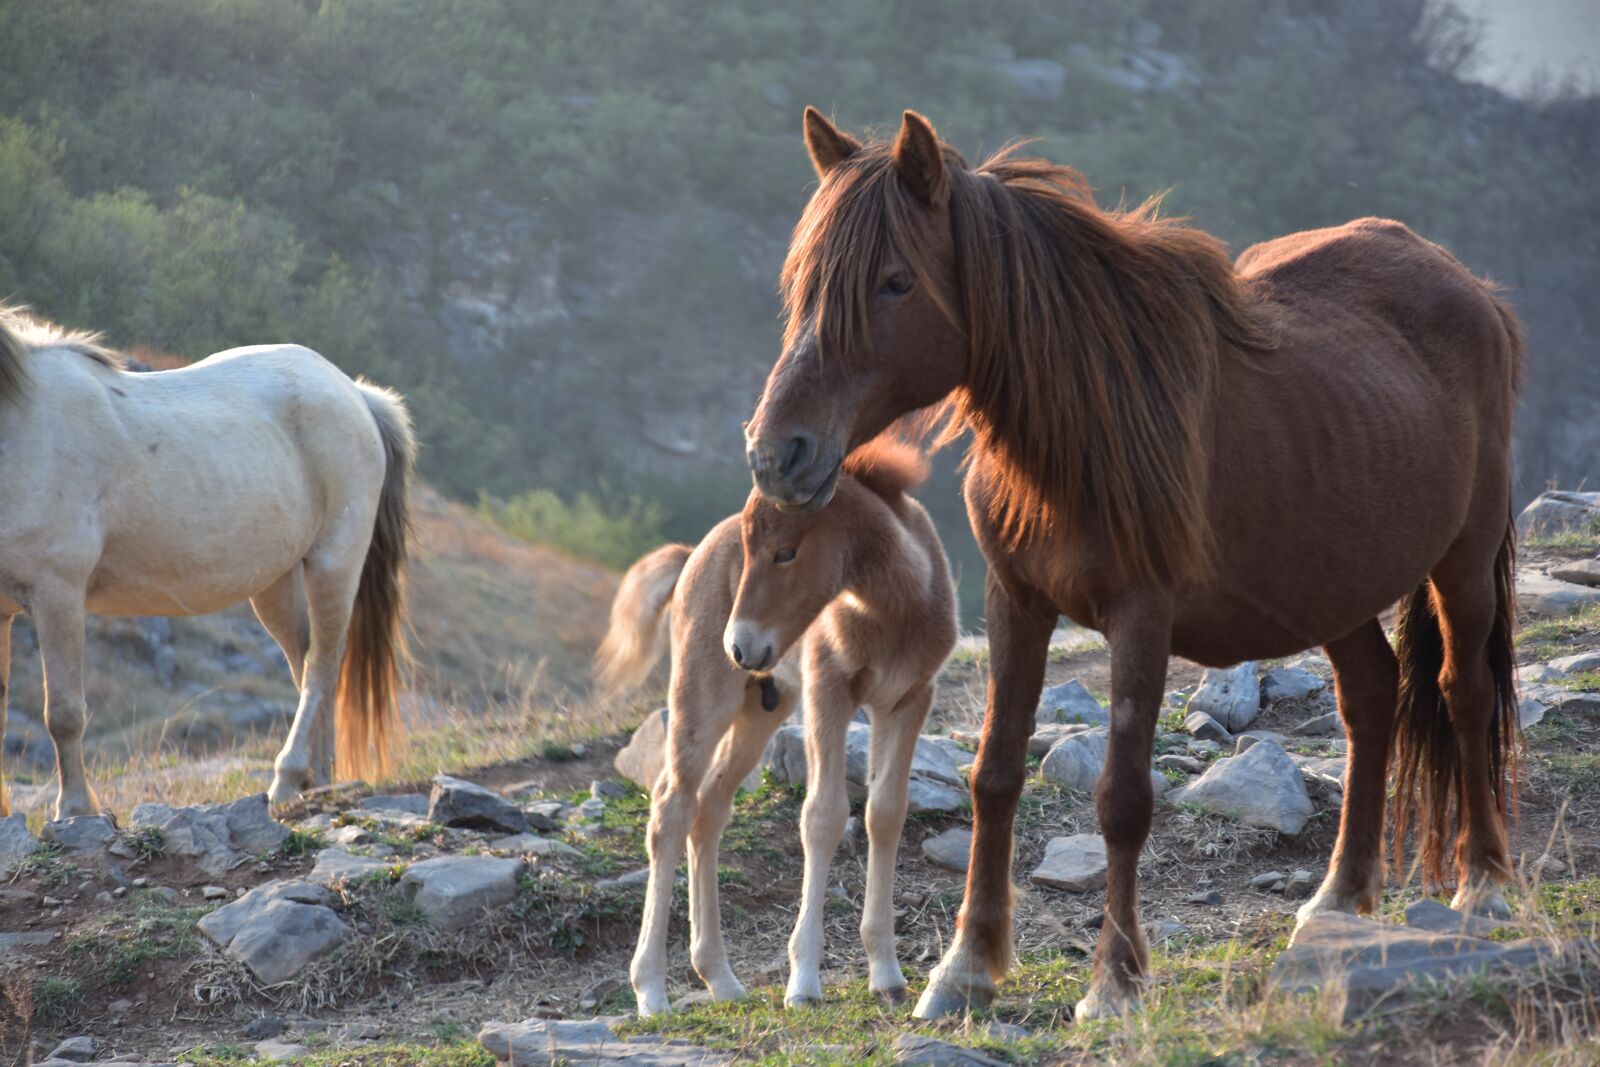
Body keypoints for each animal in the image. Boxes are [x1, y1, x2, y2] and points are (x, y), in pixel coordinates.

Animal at [0, 305, 414, 819]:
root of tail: (356, 393)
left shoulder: (58, 594)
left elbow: (63, 713)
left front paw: (75, 809)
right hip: (276, 584)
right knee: (306, 663)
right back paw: (319, 779)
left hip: (334, 562)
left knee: (321, 665)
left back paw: (287, 779)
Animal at [597, 435, 957, 1016]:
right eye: (749, 552)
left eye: (785, 551)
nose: (740, 645)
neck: (889, 609)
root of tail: (691, 554)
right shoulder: (827, 691)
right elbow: (823, 816)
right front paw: (804, 982)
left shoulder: (907, 700)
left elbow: (885, 813)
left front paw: (886, 974)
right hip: (705, 695)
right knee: (671, 807)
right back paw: (650, 989)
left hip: (762, 707)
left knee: (710, 809)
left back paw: (720, 979)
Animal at [743, 109, 1524, 1022]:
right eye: (801, 282)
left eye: (896, 282)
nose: (778, 453)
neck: (1080, 427)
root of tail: (1468, 285)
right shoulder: (1016, 602)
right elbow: (995, 774)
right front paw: (966, 966)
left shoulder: (1141, 616)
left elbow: (1121, 799)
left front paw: (1113, 980)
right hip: (1331, 588)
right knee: (1371, 696)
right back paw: (1341, 894)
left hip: (1463, 560)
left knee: (1464, 694)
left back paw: (1482, 883)